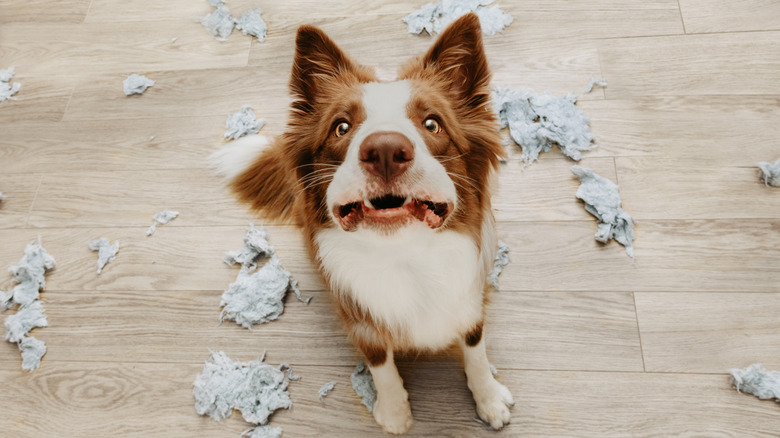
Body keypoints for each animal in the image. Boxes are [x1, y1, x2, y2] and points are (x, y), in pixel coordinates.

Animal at [213, 12, 516, 432]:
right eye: (341, 127)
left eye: (432, 124)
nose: (386, 150)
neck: (403, 257)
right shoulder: (359, 319)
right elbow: (381, 364)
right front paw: (395, 412)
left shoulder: (470, 300)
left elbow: (475, 347)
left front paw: (489, 398)